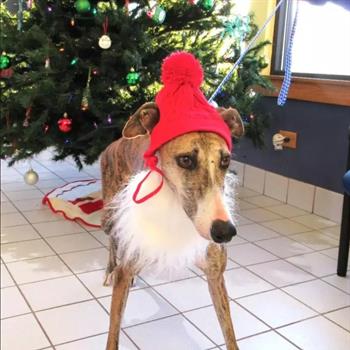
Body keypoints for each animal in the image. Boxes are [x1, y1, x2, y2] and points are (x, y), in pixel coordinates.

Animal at [100, 102, 243, 350]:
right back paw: (110, 270)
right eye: (185, 160)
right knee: (113, 238)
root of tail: (117, 142)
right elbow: (113, 334)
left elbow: (230, 334)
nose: (224, 232)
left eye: (225, 160)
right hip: (110, 215)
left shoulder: (216, 276)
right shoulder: (125, 273)